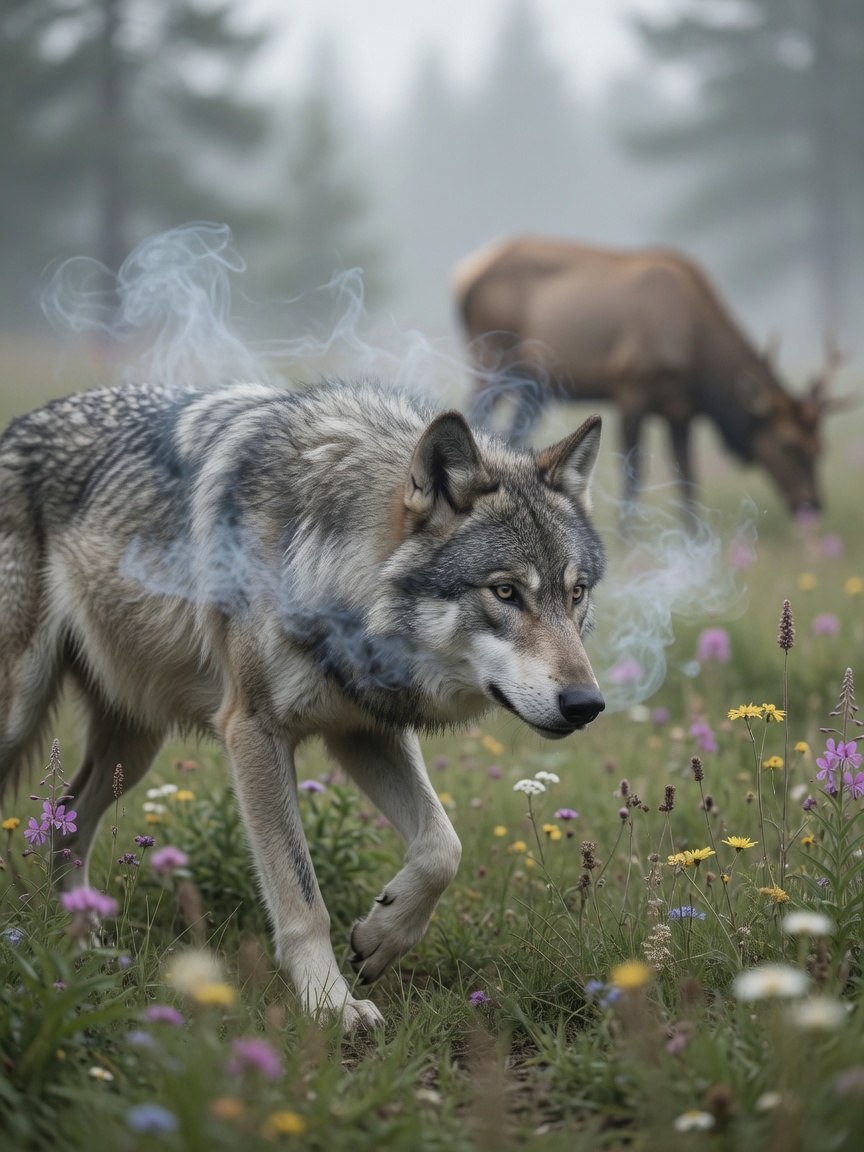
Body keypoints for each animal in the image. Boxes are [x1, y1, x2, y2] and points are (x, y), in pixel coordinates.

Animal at [0, 380, 605, 1028]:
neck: (325, 559)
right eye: (505, 591)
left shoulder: (364, 729)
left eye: (576, 593)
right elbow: (302, 895)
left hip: (133, 746)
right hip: (27, 716)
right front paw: (330, 1004)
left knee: (66, 818)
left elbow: (444, 847)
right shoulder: (253, 731)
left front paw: (381, 937)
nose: (587, 704)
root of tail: (18, 424)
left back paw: (83, 948)